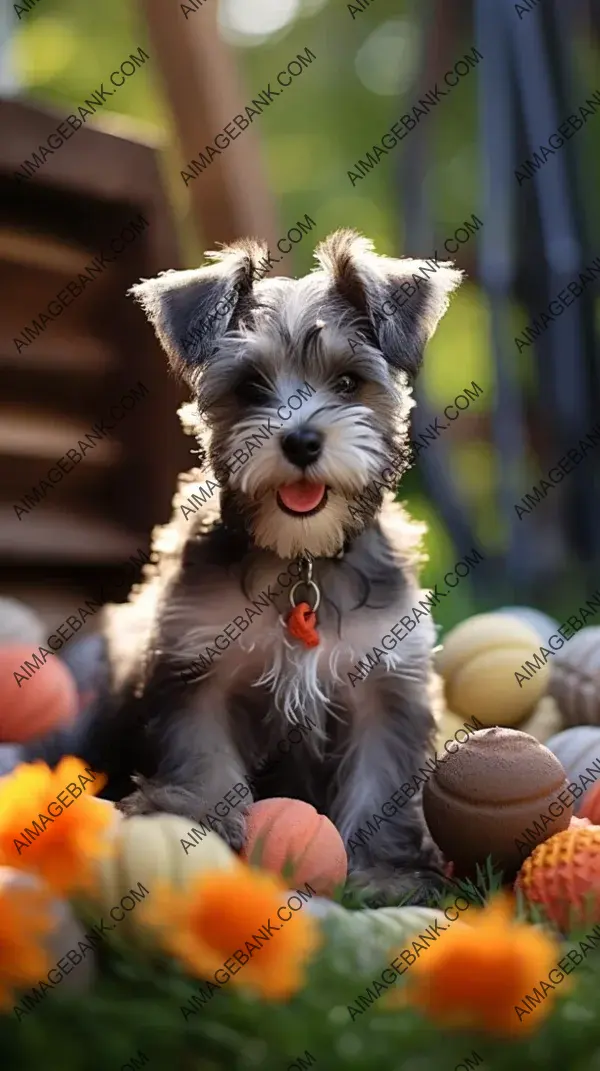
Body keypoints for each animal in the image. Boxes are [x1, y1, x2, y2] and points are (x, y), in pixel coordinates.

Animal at [29, 225, 465, 903]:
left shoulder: (386, 681)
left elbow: (382, 780)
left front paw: (384, 874)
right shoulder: (194, 664)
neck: (299, 558)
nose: (302, 441)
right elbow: (203, 751)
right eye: (251, 387)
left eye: (348, 383)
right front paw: (197, 819)